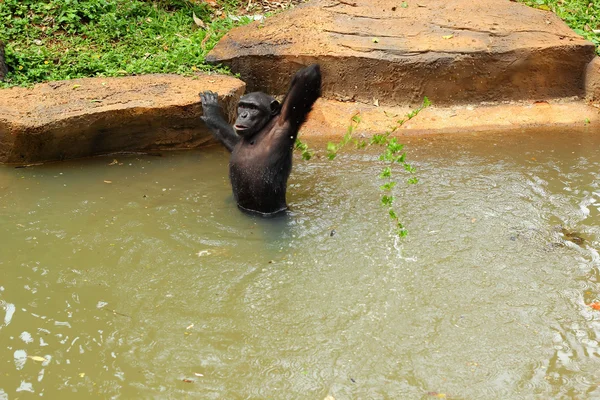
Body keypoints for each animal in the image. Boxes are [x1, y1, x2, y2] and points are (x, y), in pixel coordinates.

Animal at [199, 64, 322, 216]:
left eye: (253, 108)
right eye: (242, 106)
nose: (243, 115)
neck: (260, 129)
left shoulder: (286, 119)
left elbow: (307, 78)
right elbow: (233, 141)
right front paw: (212, 111)